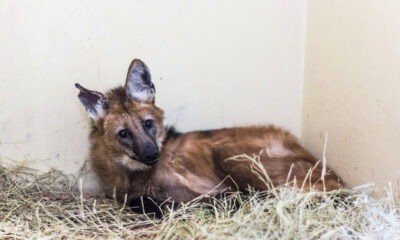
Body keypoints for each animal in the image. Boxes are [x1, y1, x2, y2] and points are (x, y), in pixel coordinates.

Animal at [76, 59, 342, 211]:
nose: (152, 154)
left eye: (147, 124)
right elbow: (141, 201)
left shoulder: (206, 188)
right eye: (124, 133)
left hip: (231, 155)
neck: (132, 174)